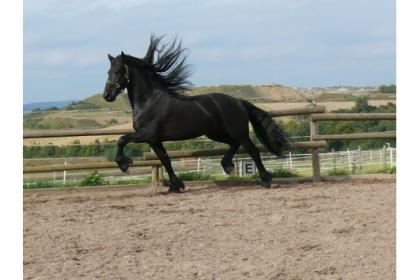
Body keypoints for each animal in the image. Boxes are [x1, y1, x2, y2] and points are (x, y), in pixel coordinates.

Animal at [104, 36, 288, 192]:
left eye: (119, 70)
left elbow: (122, 139)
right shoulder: (154, 140)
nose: (107, 96)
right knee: (234, 144)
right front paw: (176, 186)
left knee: (253, 151)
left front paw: (124, 164)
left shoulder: (147, 134)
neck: (149, 102)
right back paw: (228, 165)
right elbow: (165, 159)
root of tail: (239, 101)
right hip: (215, 133)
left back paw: (265, 180)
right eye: (108, 71)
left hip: (238, 132)